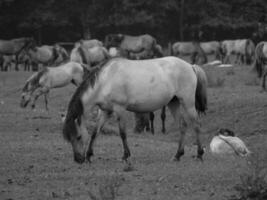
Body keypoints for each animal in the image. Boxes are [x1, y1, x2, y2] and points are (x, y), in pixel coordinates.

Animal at [63, 56, 209, 164]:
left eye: (78, 136)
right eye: (69, 138)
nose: (78, 159)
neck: (106, 80)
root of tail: (190, 66)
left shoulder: (120, 109)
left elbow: (122, 133)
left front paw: (125, 156)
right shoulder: (105, 111)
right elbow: (95, 132)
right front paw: (89, 155)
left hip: (188, 103)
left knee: (196, 125)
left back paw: (199, 154)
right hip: (173, 103)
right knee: (182, 125)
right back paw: (177, 155)